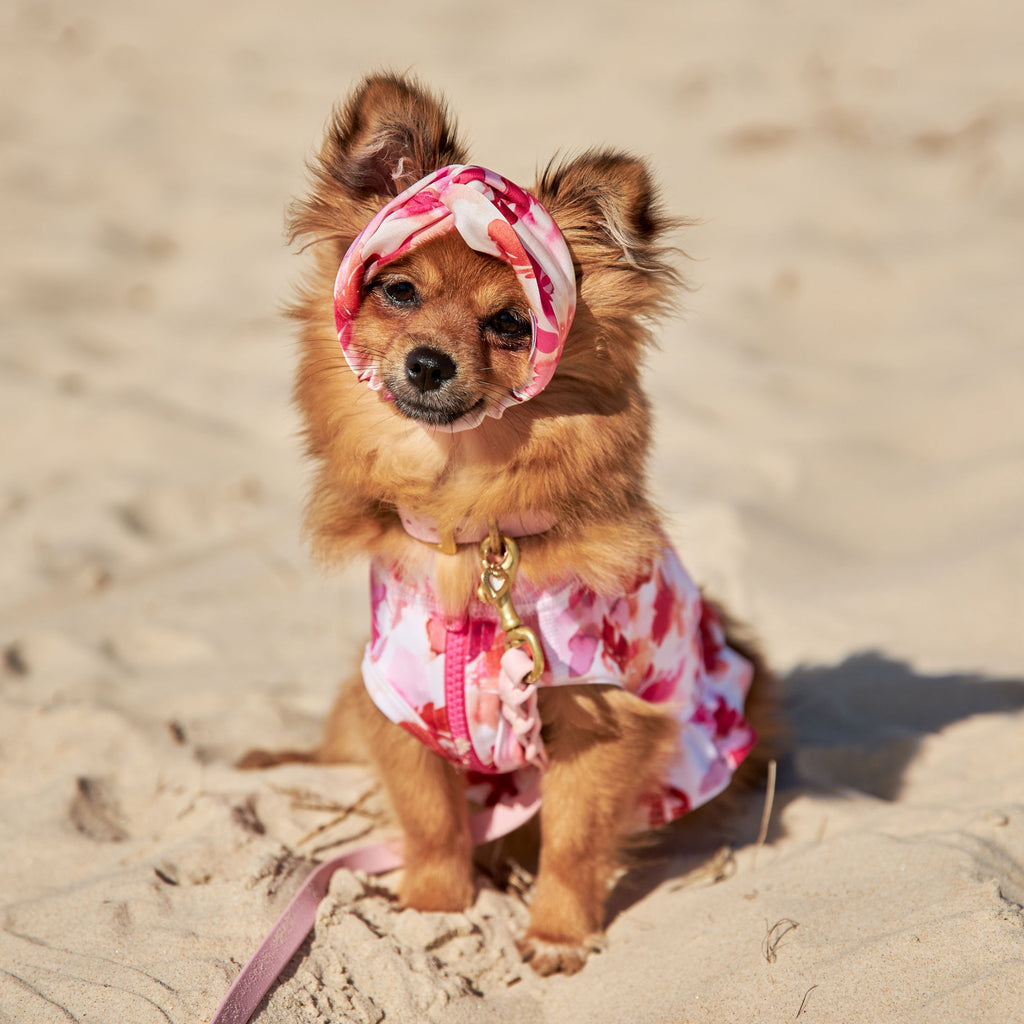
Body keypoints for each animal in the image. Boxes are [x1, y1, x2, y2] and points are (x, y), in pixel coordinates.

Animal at [241, 74, 774, 974]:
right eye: (400, 291)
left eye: (511, 325)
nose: (427, 361)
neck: (471, 523)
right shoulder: (397, 699)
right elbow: (430, 816)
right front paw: (432, 905)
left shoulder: (601, 720)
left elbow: (572, 836)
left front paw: (556, 932)